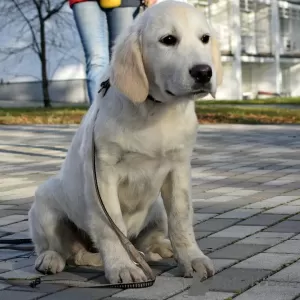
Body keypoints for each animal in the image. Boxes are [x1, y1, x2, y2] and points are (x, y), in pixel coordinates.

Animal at [28, 0, 223, 284]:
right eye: (168, 40)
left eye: (205, 38)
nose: (203, 72)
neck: (155, 110)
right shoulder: (103, 173)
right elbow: (110, 227)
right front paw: (121, 267)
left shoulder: (178, 169)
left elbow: (181, 218)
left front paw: (192, 259)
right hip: (44, 203)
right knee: (62, 249)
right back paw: (51, 259)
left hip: (157, 208)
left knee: (144, 243)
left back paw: (159, 248)